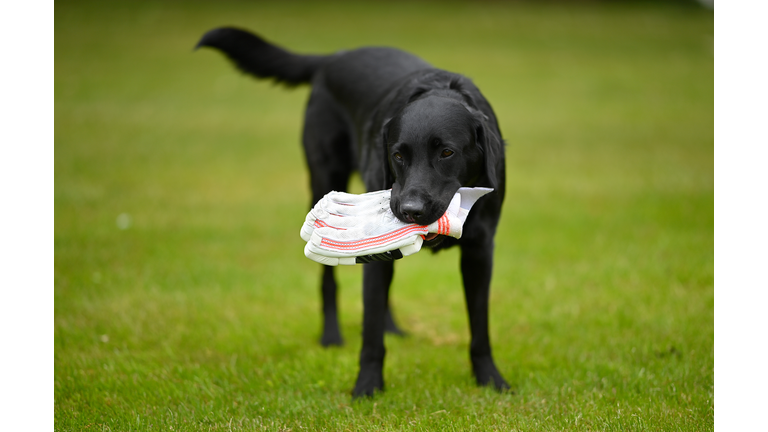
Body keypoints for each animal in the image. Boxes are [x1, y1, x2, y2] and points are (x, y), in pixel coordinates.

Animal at [198, 27, 510, 398]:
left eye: (447, 152)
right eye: (398, 155)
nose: (410, 210)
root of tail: (333, 57)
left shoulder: (480, 251)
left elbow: (480, 327)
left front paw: (491, 379)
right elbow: (370, 331)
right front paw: (367, 386)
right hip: (323, 178)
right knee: (328, 281)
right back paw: (331, 336)